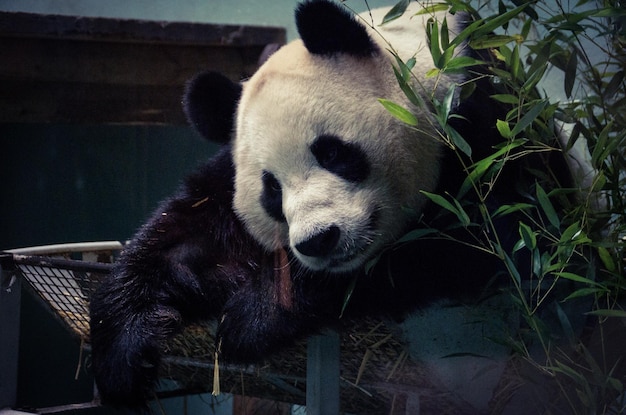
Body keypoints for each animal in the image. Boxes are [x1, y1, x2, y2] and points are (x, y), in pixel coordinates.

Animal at [88, 0, 572, 408]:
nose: (319, 241)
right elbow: (188, 234)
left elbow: (488, 241)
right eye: (271, 190)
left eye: (333, 152)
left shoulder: (490, 127)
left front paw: (255, 316)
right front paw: (125, 348)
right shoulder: (228, 173)